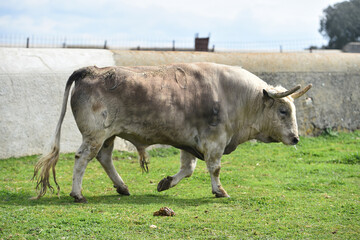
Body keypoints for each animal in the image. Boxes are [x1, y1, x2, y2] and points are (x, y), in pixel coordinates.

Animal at [32, 62, 310, 202]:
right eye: (283, 110)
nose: (296, 137)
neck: (236, 97)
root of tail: (91, 70)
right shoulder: (214, 141)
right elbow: (214, 168)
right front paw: (219, 191)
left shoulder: (190, 143)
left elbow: (188, 169)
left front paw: (166, 183)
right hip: (95, 136)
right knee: (82, 159)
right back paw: (77, 193)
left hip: (108, 136)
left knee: (104, 159)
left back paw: (122, 187)